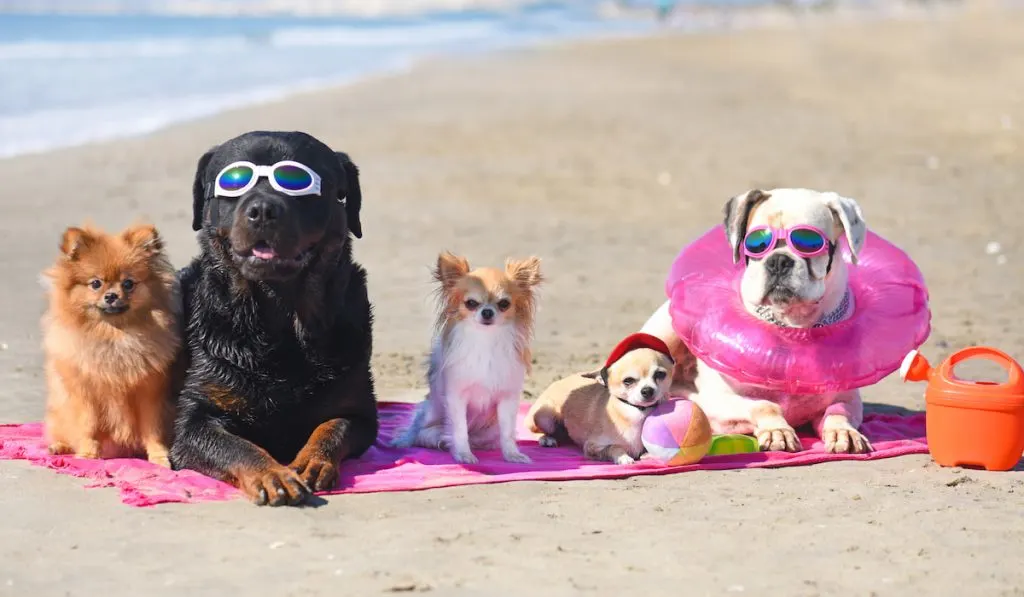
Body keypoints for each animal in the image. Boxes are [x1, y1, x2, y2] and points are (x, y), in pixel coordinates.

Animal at [391, 249, 544, 464]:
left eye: (504, 304)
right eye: (471, 303)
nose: (487, 312)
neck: (485, 340)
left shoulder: (507, 398)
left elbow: (507, 432)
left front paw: (512, 455)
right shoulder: (456, 396)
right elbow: (460, 429)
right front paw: (463, 454)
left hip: (489, 430)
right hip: (428, 422)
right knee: (423, 432)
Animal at [524, 333, 675, 464]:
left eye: (660, 374)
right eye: (628, 381)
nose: (647, 390)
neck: (638, 411)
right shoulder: (592, 446)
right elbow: (613, 447)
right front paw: (623, 457)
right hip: (544, 417)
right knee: (535, 431)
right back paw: (546, 439)